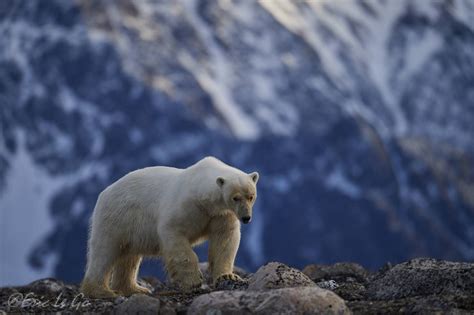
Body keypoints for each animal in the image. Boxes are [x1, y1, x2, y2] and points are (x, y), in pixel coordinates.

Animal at [81, 158, 260, 298]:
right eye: (235, 198)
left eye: (251, 196)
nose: (246, 218)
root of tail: (104, 192)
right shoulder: (186, 207)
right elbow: (175, 235)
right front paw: (194, 281)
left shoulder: (220, 214)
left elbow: (224, 240)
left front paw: (228, 276)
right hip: (116, 218)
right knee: (104, 252)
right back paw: (102, 291)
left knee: (129, 258)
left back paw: (135, 289)